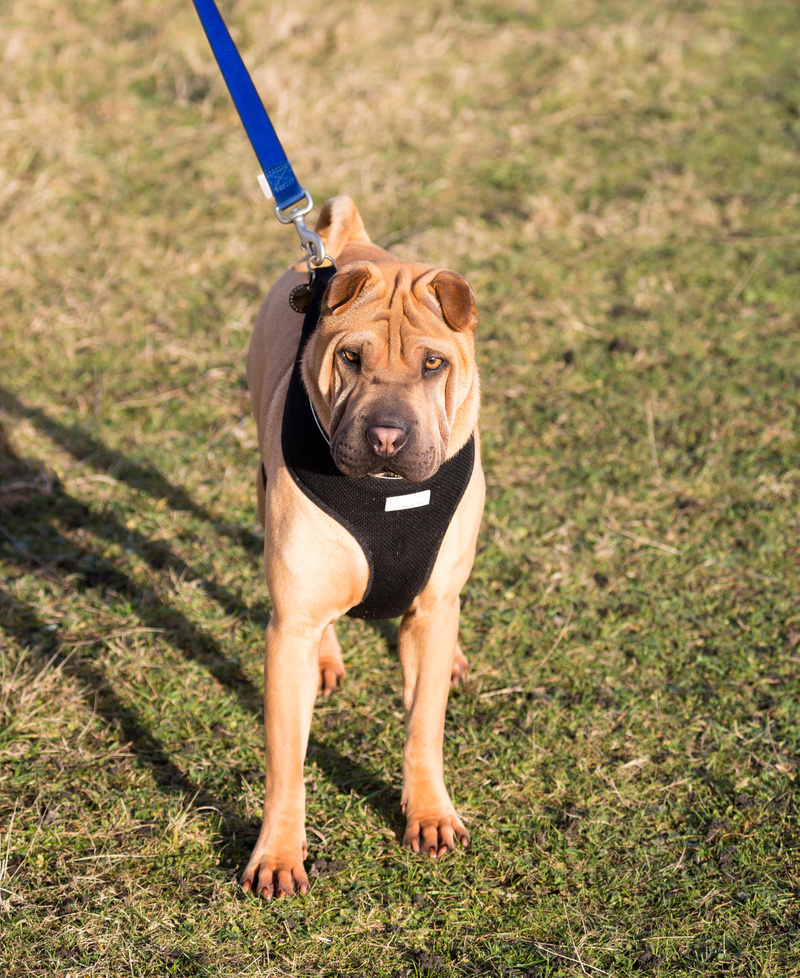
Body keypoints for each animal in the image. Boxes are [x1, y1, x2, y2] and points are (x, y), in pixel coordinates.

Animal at [241, 194, 484, 896]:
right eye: (351, 358)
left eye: (433, 363)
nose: (387, 437)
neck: (385, 495)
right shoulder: (288, 625)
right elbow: (286, 762)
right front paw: (278, 854)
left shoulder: (431, 609)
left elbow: (424, 726)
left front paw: (429, 814)